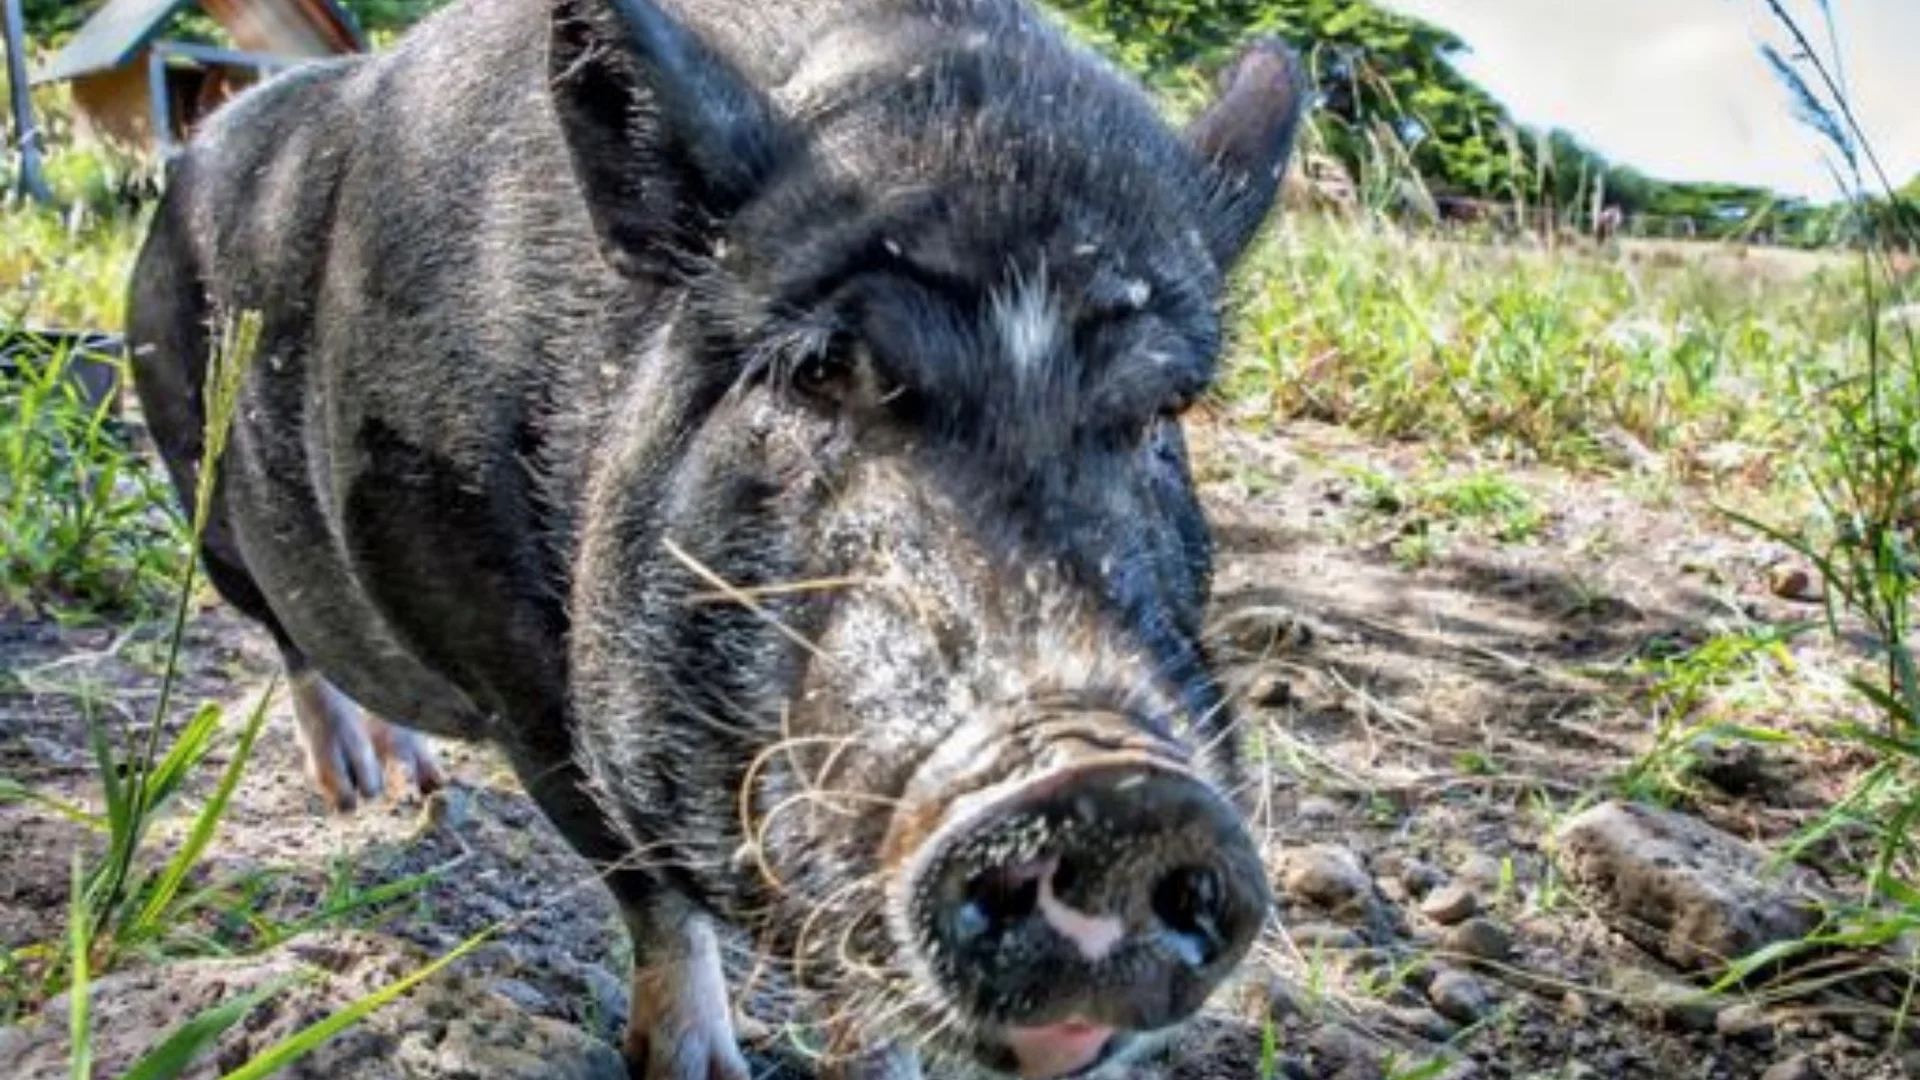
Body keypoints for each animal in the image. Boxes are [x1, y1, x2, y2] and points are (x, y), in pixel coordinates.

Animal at [123, 0, 1310, 1075]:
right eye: (815, 370)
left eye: (1164, 412)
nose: (1115, 788)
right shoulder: (526, 685)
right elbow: (650, 885)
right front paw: (695, 1066)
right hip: (199, 488)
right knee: (288, 638)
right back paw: (356, 793)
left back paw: (417, 791)